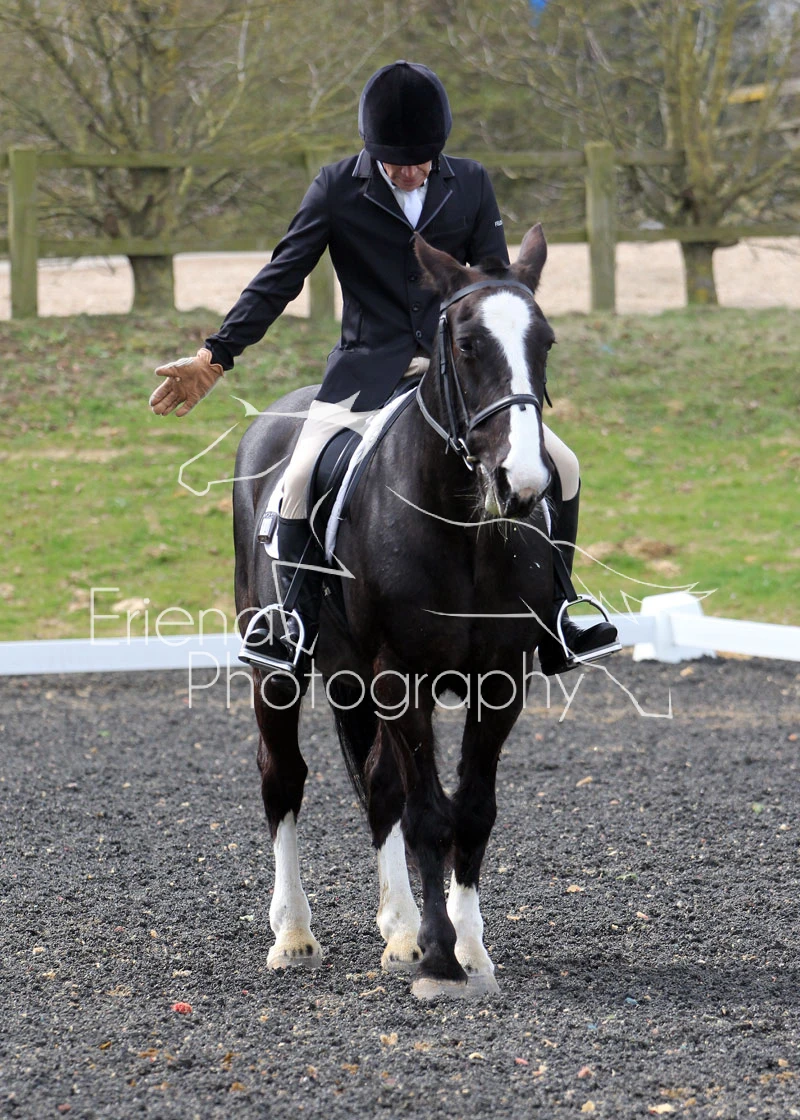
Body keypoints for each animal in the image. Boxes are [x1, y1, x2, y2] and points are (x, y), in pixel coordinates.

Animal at [233, 224, 555, 998]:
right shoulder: (400, 674)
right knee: (283, 776)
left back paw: (399, 933)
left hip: (353, 674)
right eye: (466, 344)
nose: (522, 483)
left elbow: (471, 810)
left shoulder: (501, 680)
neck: (463, 528)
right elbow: (429, 815)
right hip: (280, 671)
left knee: (378, 787)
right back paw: (294, 935)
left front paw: (466, 948)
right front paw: (441, 960)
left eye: (546, 341)